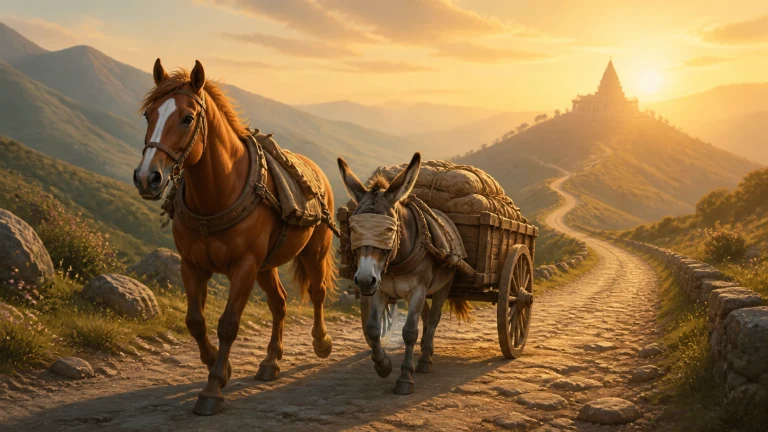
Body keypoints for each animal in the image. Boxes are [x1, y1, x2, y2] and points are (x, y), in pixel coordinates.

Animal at [133, 59, 337, 415]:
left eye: (187, 118)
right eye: (149, 115)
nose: (147, 177)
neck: (218, 193)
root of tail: (318, 172)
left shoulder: (244, 266)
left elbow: (228, 324)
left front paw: (212, 388)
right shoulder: (192, 266)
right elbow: (195, 321)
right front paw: (221, 367)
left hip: (313, 252)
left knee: (317, 293)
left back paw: (321, 341)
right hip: (266, 266)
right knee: (279, 303)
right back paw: (271, 361)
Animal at [337, 153, 471, 394]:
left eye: (389, 230)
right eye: (353, 229)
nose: (363, 281)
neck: (396, 262)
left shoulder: (417, 290)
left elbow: (409, 331)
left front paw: (405, 377)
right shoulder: (380, 289)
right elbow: (373, 328)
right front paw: (383, 365)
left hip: (443, 285)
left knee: (434, 318)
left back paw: (425, 359)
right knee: (426, 317)